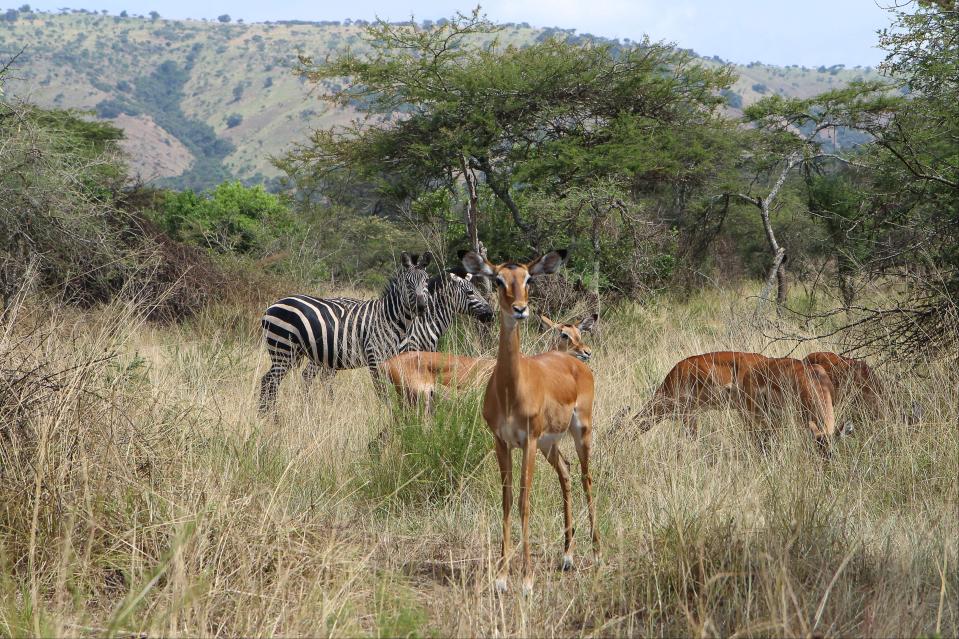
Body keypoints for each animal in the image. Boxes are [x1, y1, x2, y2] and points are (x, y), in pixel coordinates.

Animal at [258, 251, 432, 416]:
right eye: (408, 283)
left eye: (426, 281)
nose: (421, 307)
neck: (390, 318)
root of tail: (272, 305)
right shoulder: (374, 357)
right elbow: (382, 392)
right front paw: (388, 415)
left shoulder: (392, 360)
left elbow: (397, 389)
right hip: (283, 349)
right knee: (269, 381)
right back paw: (270, 417)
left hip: (292, 352)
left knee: (271, 380)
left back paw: (268, 415)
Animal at [462, 249, 596, 596]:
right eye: (498, 280)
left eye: (528, 279)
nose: (520, 309)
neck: (512, 388)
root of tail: (575, 362)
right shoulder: (502, 442)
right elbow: (507, 500)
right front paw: (501, 578)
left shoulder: (529, 441)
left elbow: (524, 501)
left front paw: (526, 580)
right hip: (550, 445)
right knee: (566, 473)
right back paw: (567, 557)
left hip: (580, 431)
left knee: (587, 478)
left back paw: (598, 551)